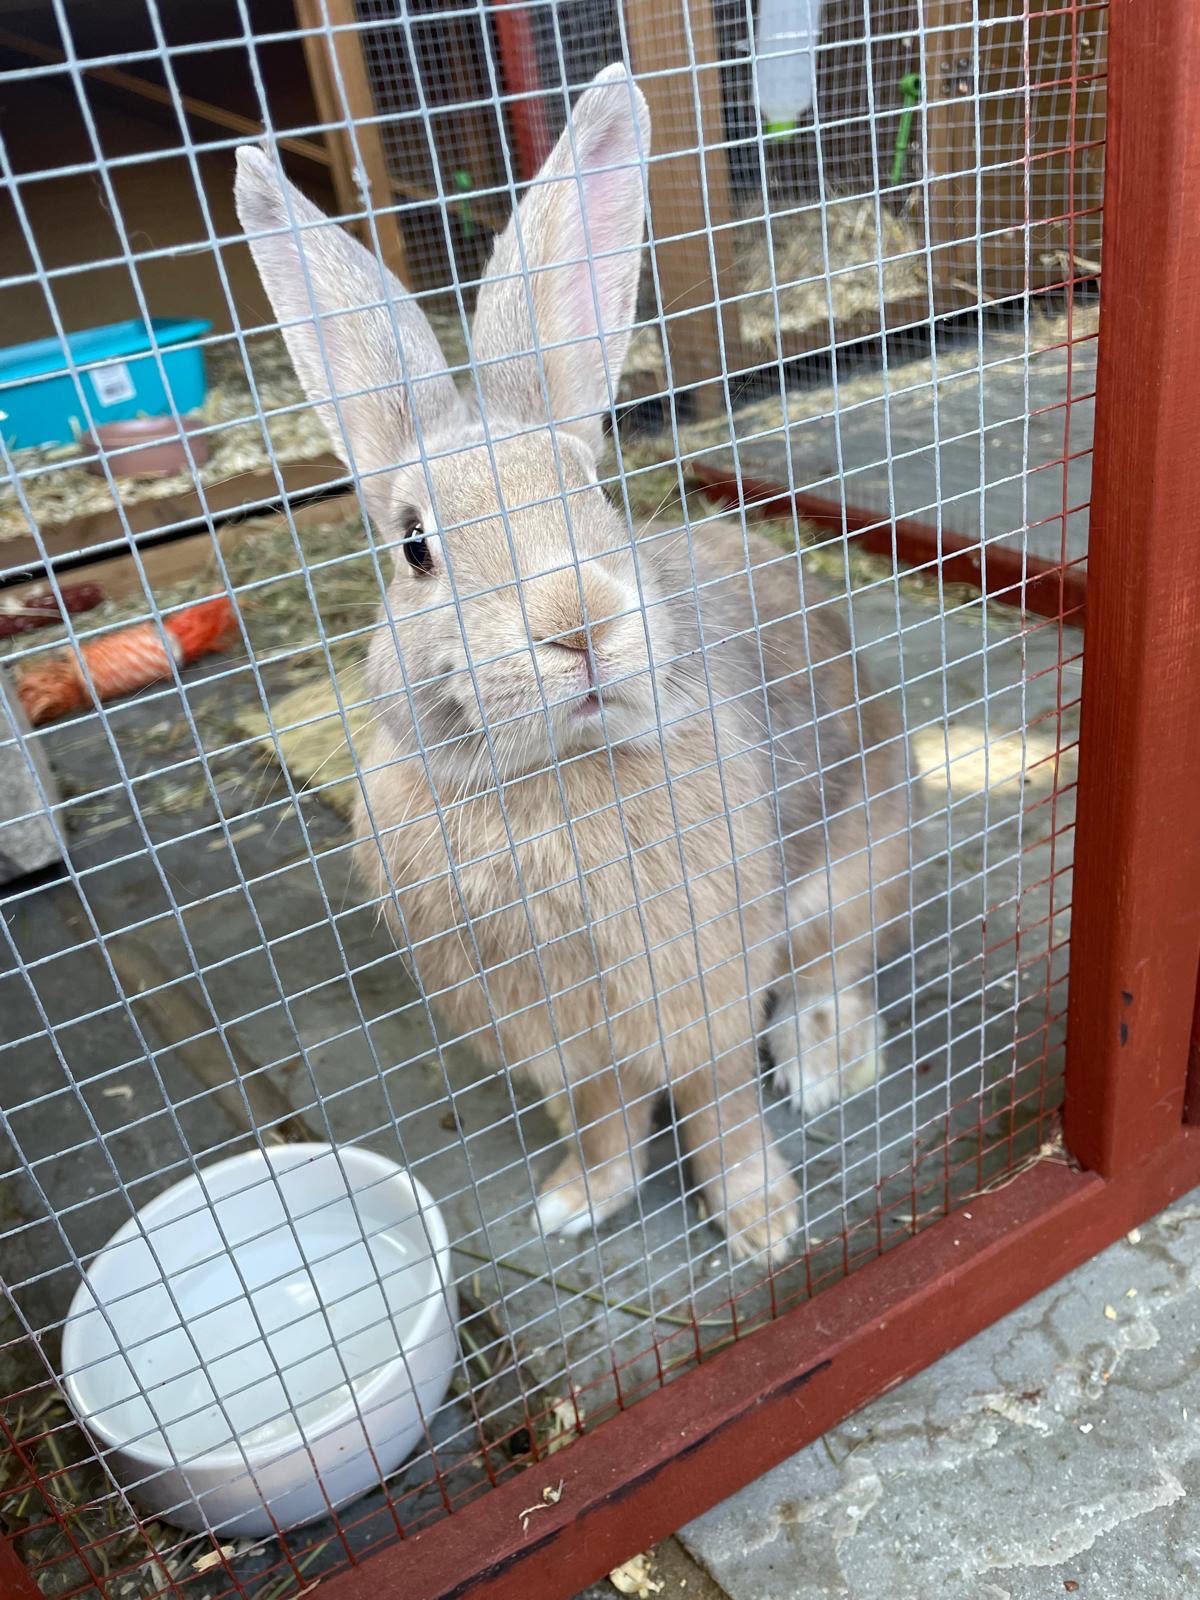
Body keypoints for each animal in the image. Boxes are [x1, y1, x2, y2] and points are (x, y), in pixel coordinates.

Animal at [234, 64, 910, 1263]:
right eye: (415, 546)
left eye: (591, 490)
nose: (579, 625)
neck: (548, 784)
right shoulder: (557, 1034)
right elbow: (606, 1115)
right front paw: (576, 1201)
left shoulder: (700, 987)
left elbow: (722, 1105)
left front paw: (764, 1225)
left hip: (858, 864)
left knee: (832, 969)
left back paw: (831, 1065)